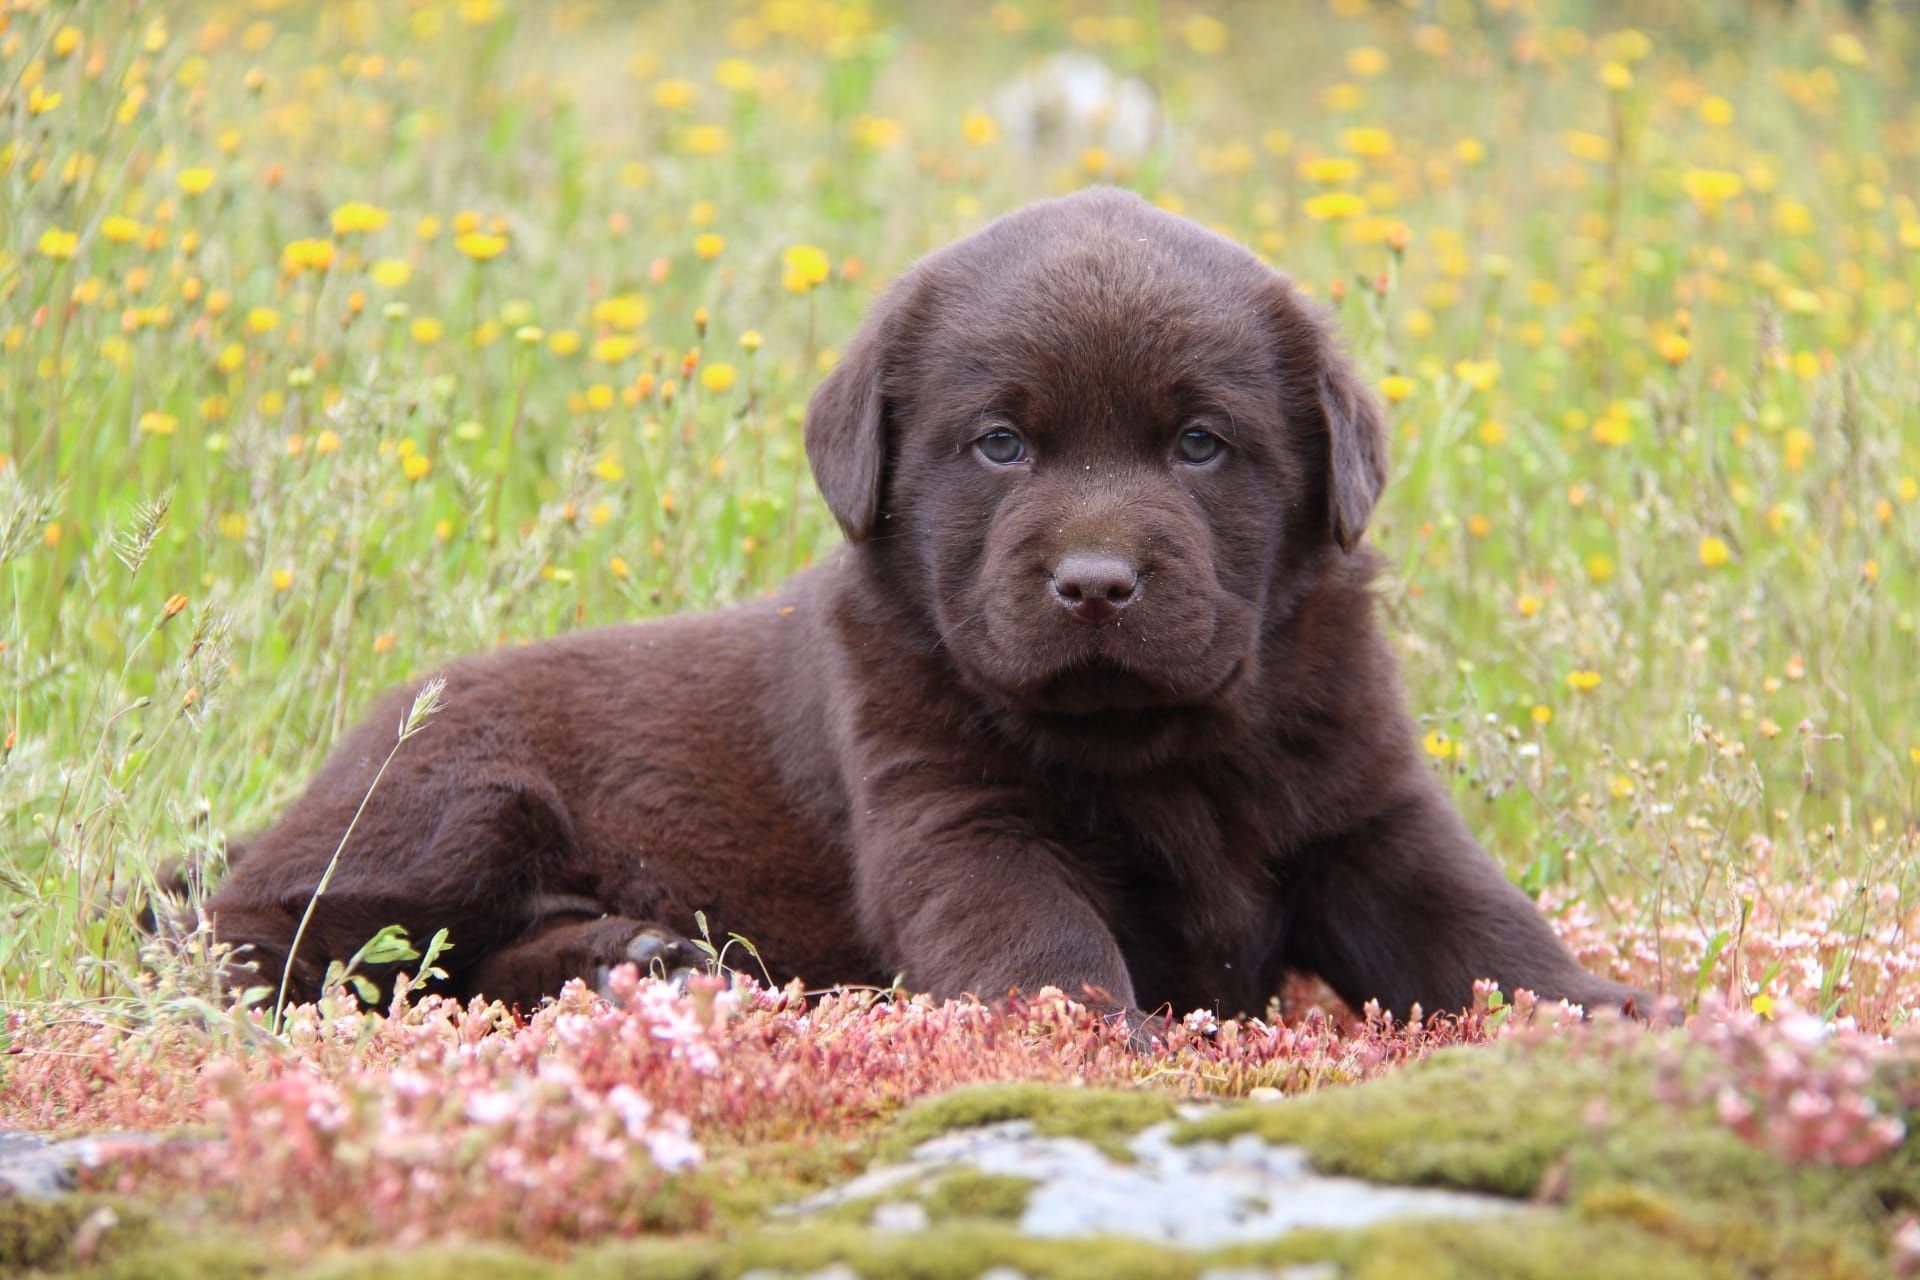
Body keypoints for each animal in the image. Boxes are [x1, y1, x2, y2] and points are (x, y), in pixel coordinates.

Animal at [206, 188, 1651, 1028]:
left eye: (1200, 445)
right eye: (1000, 445)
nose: (1095, 581)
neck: (1159, 746)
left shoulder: (1367, 809)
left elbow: (1479, 924)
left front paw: (1611, 1012)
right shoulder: (958, 818)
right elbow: (1037, 937)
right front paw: (1096, 1037)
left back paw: (644, 960)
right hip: (453, 803)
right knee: (275, 942)